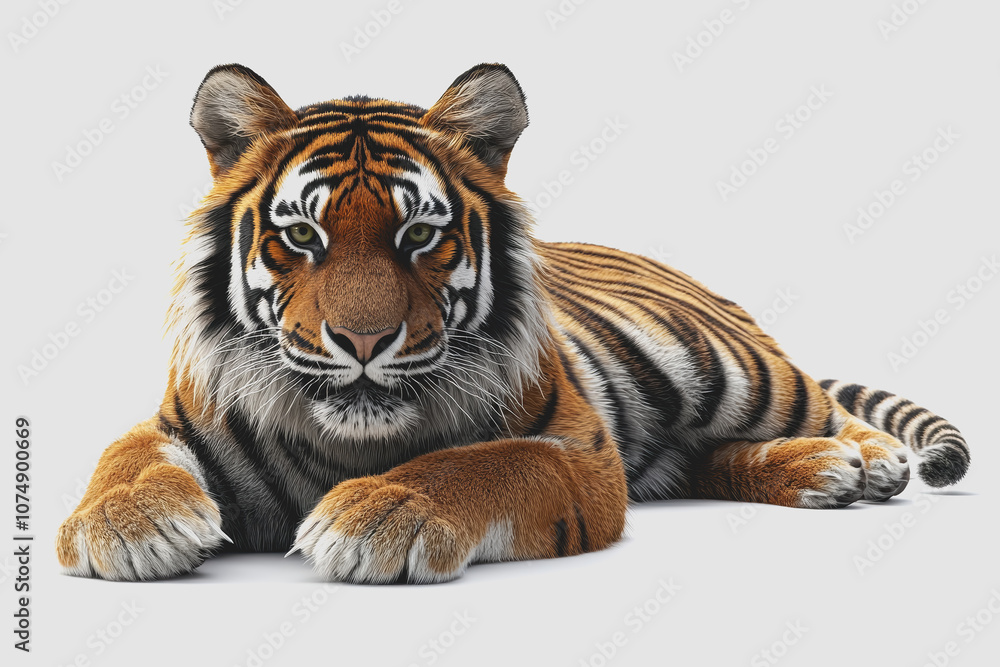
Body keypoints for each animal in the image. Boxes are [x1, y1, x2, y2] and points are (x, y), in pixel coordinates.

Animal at [56, 63, 970, 583]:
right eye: (302, 236)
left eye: (419, 235)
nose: (363, 342)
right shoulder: (180, 419)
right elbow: (125, 456)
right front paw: (127, 526)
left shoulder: (577, 449)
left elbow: (479, 464)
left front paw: (375, 515)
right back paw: (819, 471)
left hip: (734, 368)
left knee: (823, 403)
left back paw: (866, 459)